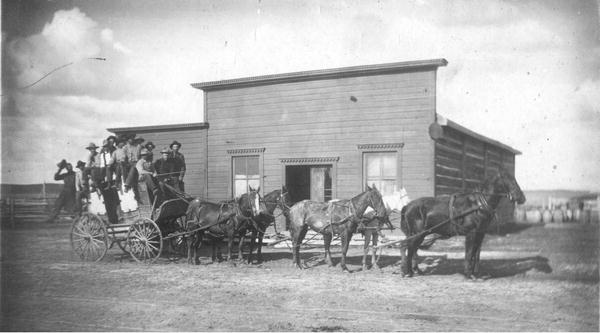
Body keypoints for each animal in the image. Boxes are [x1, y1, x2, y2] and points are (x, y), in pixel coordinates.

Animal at [400, 167, 528, 278]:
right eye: (507, 178)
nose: (521, 197)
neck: (478, 205)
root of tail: (407, 206)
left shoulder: (480, 233)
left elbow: (476, 254)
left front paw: (475, 273)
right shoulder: (471, 233)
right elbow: (469, 253)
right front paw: (468, 273)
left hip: (419, 234)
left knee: (410, 249)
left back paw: (414, 270)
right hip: (417, 234)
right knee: (407, 248)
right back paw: (408, 272)